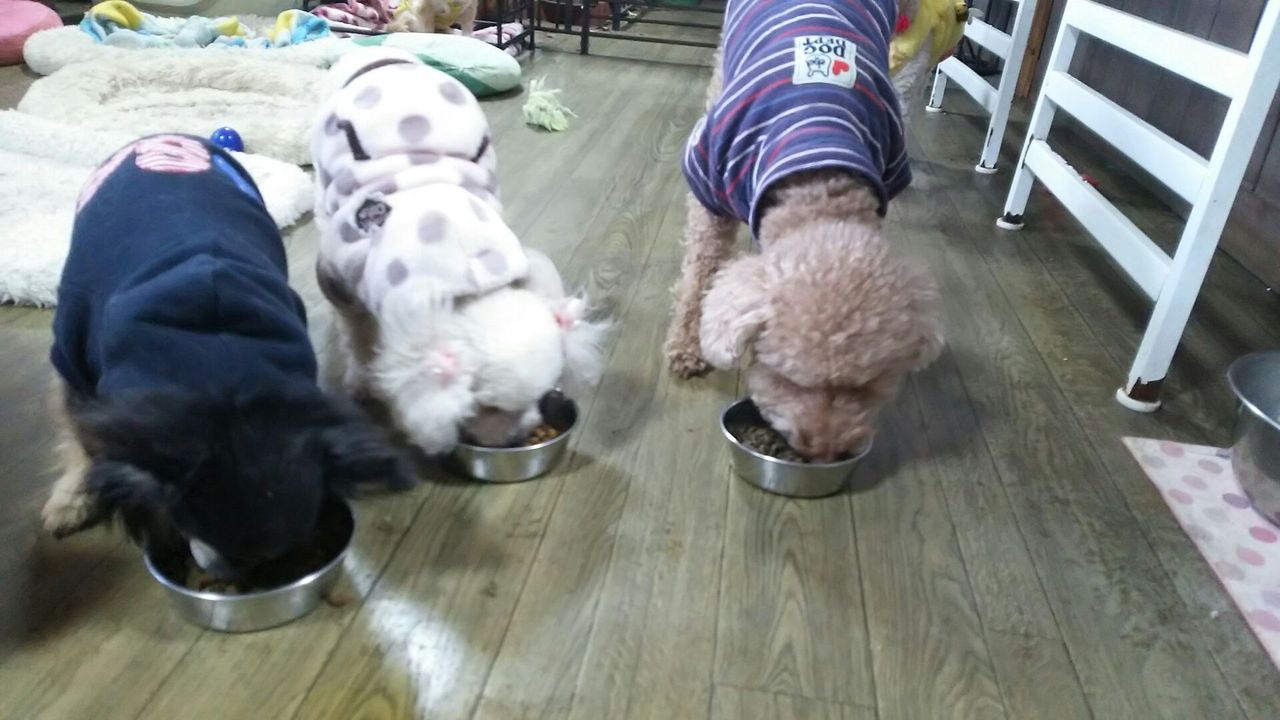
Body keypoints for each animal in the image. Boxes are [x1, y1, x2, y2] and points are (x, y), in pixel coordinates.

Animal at [42, 134, 412, 581]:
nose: (236, 575)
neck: (224, 386)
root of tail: (162, 136)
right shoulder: (77, 367)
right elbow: (81, 434)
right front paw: (74, 495)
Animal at [312, 49, 607, 453]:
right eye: (491, 408)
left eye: (545, 395)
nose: (521, 434)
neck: (471, 273)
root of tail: (376, 52)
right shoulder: (341, 279)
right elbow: (358, 335)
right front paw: (361, 380)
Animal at [665, 0, 944, 462]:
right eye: (788, 378)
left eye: (867, 385)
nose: (825, 453)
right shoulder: (709, 179)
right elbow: (700, 273)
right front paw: (687, 349)